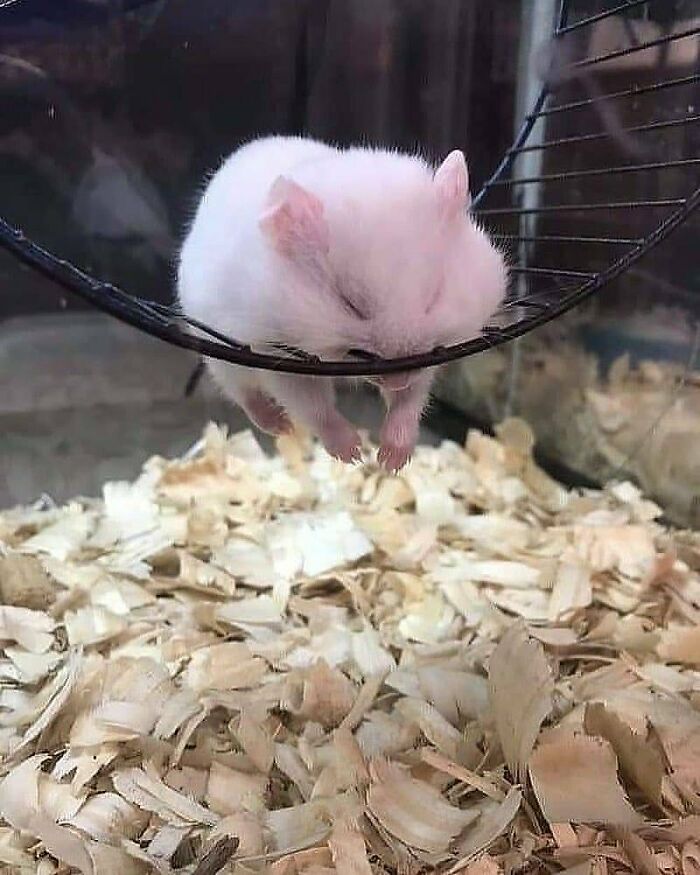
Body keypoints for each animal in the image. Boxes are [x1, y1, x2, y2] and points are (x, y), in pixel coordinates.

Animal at [177, 135, 507, 471]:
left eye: (435, 293)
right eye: (351, 303)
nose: (397, 382)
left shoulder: (426, 360)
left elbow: (410, 401)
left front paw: (390, 461)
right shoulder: (275, 356)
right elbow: (315, 408)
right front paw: (354, 454)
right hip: (222, 357)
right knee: (245, 395)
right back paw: (282, 426)